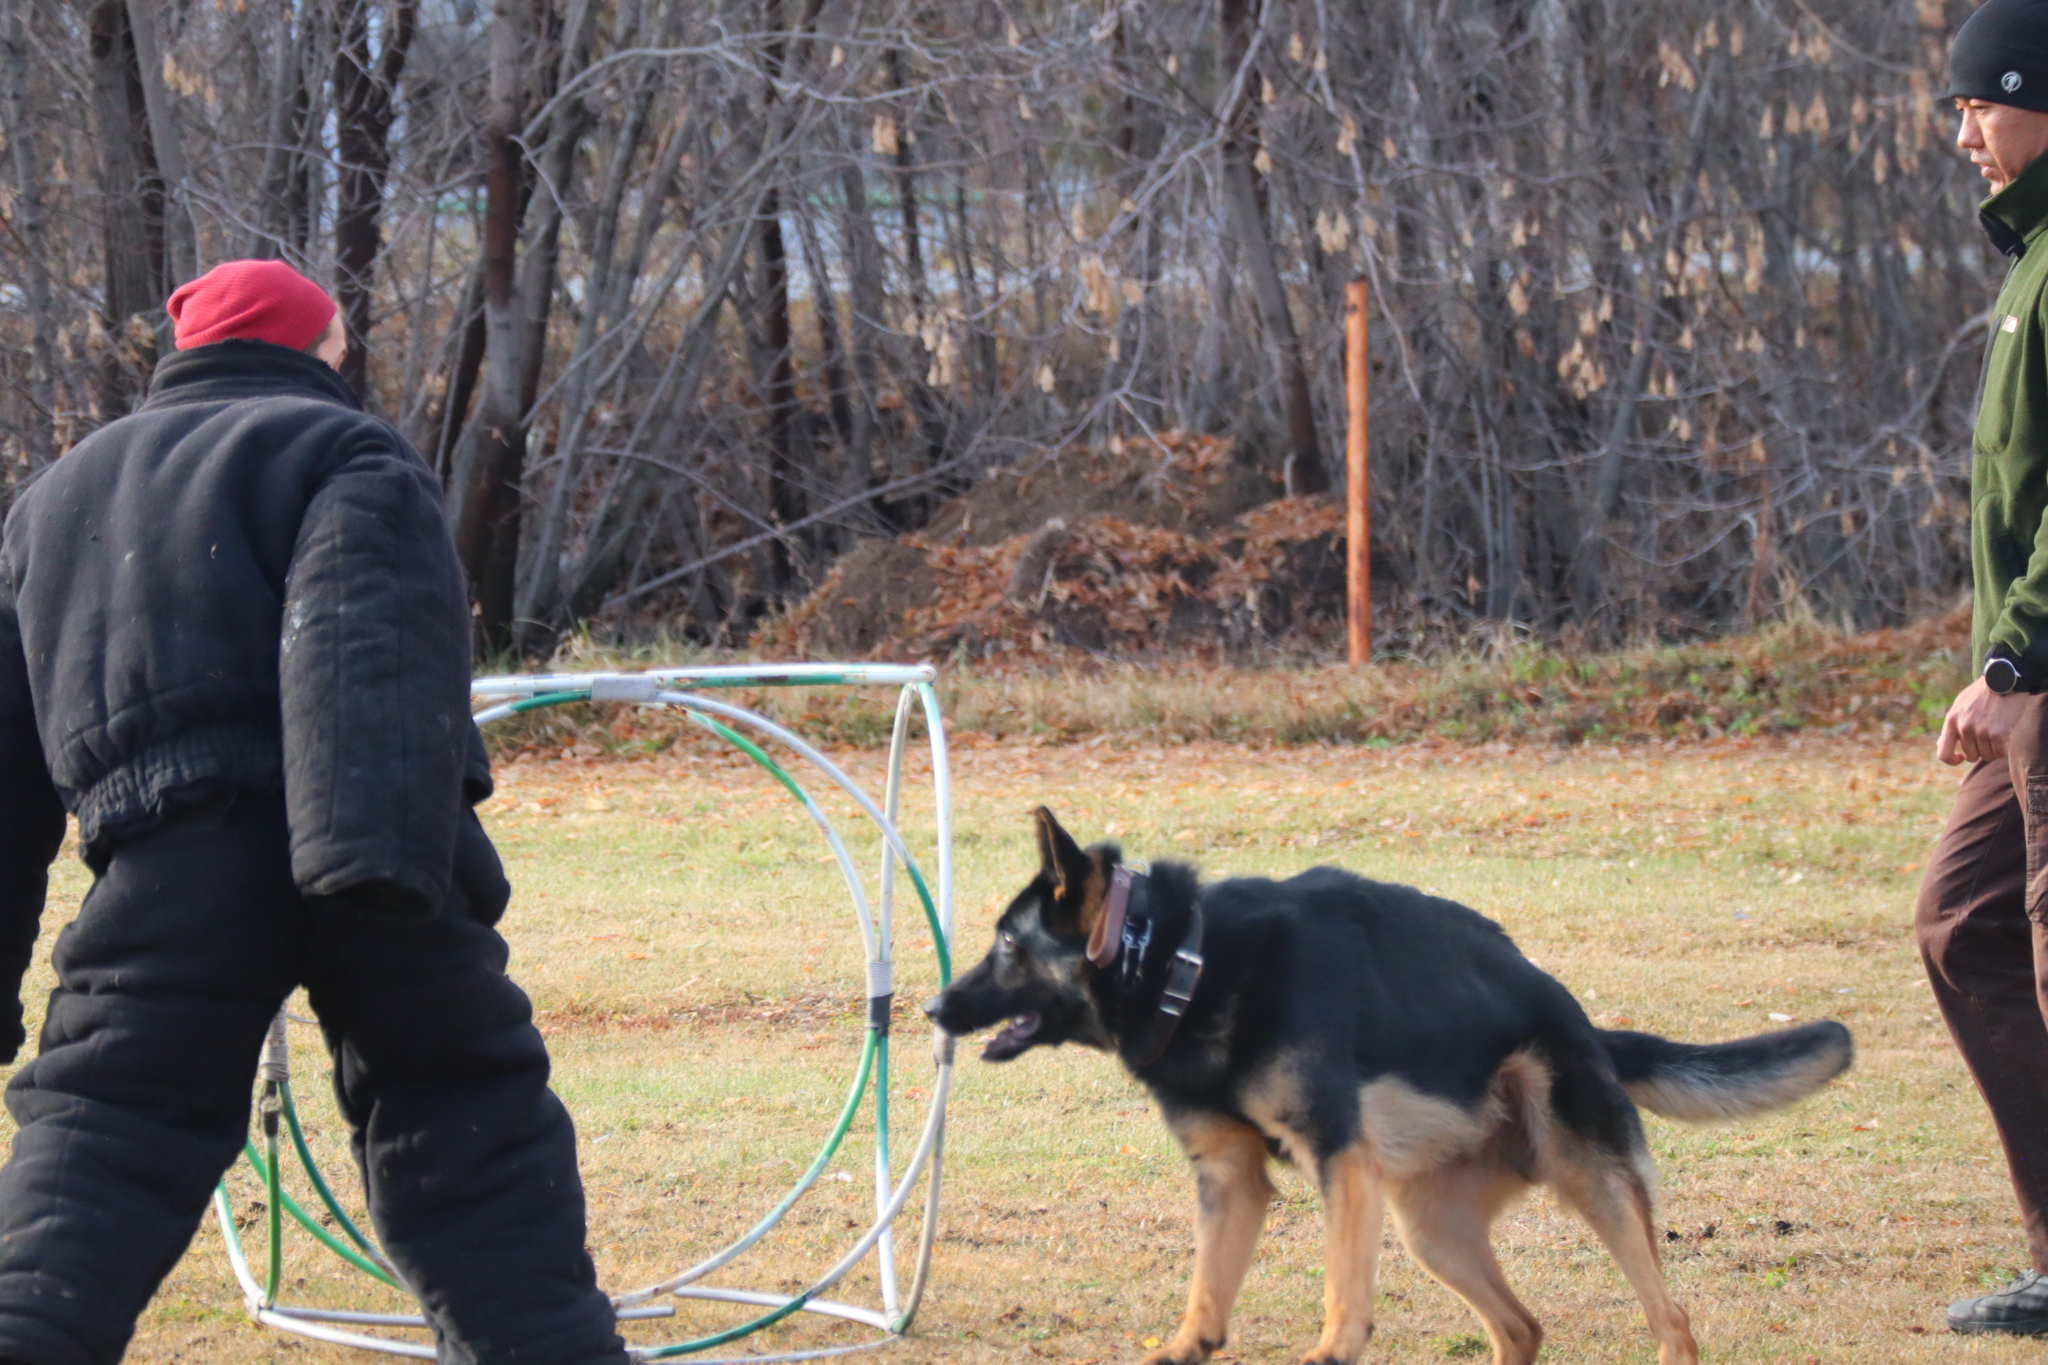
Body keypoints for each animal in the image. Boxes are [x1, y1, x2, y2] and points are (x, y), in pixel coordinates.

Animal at [929, 810, 1859, 1365]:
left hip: (1590, 1183)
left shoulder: (1340, 1159)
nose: (934, 1007)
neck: (1177, 961)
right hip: (1430, 1230)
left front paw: (1332, 1349)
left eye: (1007, 946)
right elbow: (1206, 1293)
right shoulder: (1233, 1178)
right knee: (1521, 1326)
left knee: (1671, 1321)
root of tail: (1585, 1022)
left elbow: (1343, 1289)